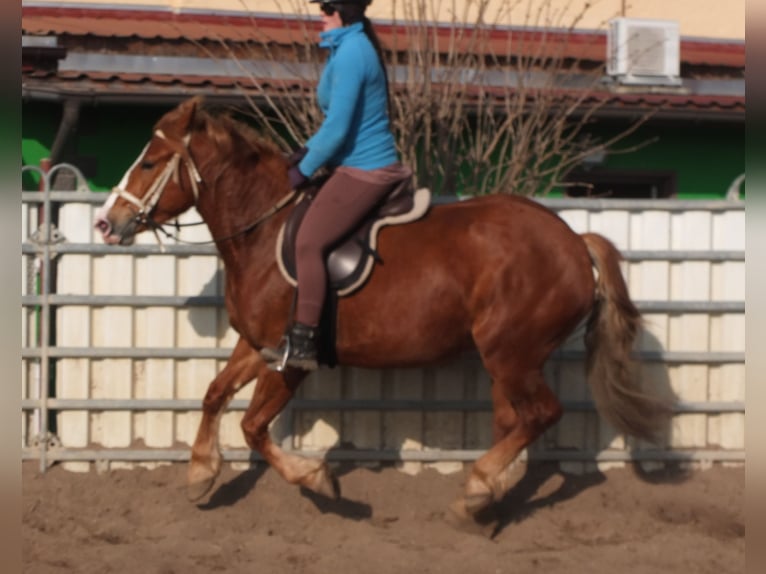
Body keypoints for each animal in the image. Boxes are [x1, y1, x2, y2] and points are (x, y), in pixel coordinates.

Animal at [94, 97, 672, 524]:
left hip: (512, 352)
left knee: (540, 415)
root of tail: (573, 240)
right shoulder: (257, 345)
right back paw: (484, 497)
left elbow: (254, 426)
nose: (105, 222)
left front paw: (317, 478)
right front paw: (199, 475)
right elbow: (215, 395)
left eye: (149, 163)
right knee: (513, 420)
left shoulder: (290, 360)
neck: (264, 230)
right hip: (509, 360)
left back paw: (478, 488)